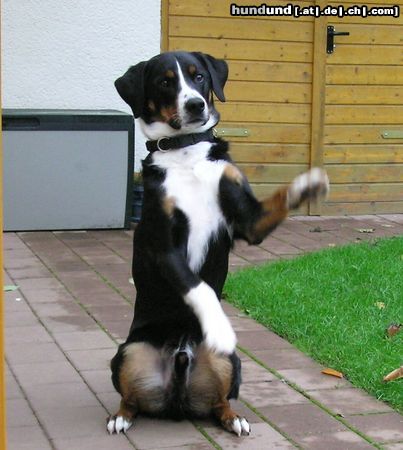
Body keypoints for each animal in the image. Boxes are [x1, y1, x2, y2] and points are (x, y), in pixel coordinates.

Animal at [109, 51, 330, 436]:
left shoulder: (249, 221)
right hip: (129, 352)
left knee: (219, 402)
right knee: (131, 399)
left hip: (229, 363)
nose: (195, 104)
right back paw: (120, 417)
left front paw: (308, 184)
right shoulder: (165, 247)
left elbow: (278, 199)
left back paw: (234, 418)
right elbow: (199, 288)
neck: (186, 154)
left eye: (198, 76)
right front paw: (219, 326)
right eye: (165, 82)